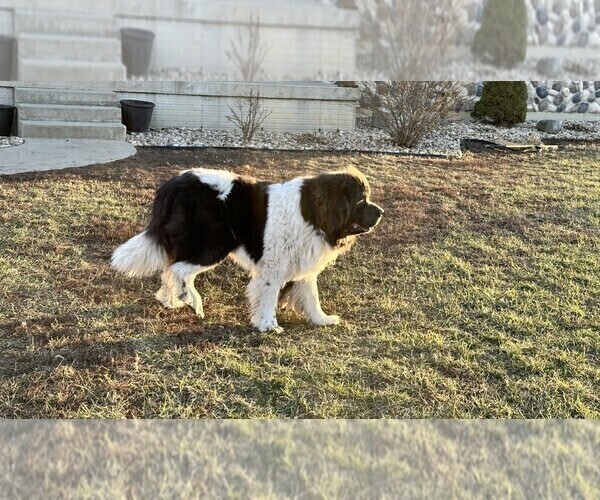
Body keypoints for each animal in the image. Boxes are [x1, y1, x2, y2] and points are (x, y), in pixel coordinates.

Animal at [111, 168, 384, 332]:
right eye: (361, 200)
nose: (381, 212)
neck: (314, 215)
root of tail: (174, 184)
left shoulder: (303, 266)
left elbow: (310, 297)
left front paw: (321, 320)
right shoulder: (273, 268)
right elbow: (269, 296)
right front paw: (269, 326)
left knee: (169, 270)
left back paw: (172, 300)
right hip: (214, 245)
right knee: (178, 270)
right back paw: (191, 301)